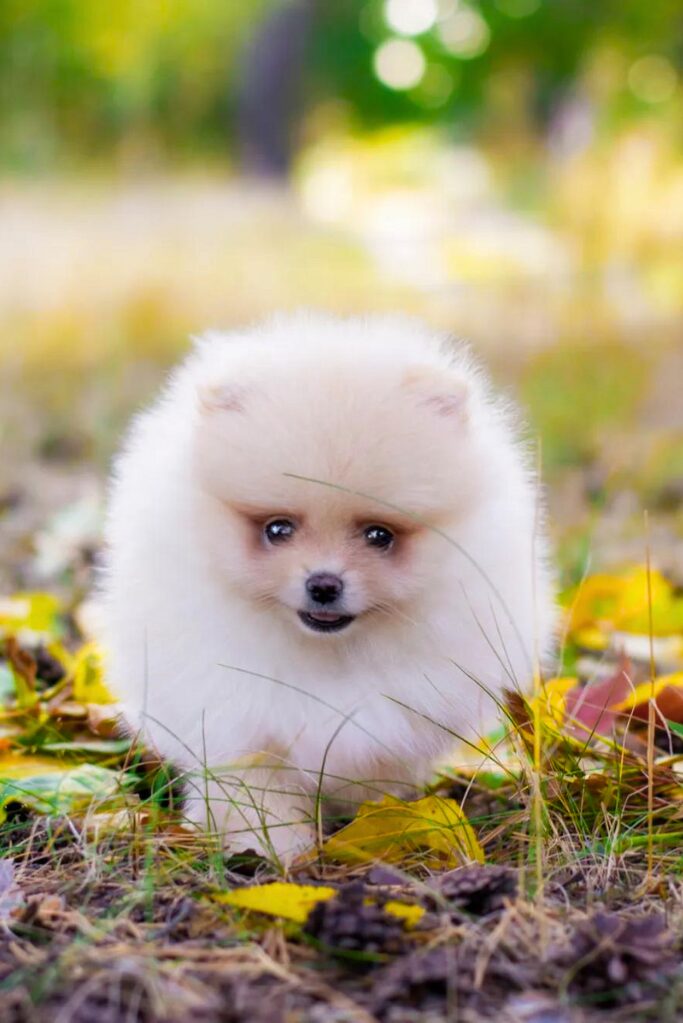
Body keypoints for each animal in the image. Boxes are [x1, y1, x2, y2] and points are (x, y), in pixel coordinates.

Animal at [101, 313, 556, 863]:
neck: (328, 654)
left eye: (379, 536)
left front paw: (377, 824)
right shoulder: (238, 716)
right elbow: (259, 789)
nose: (323, 584)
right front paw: (271, 846)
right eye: (277, 529)